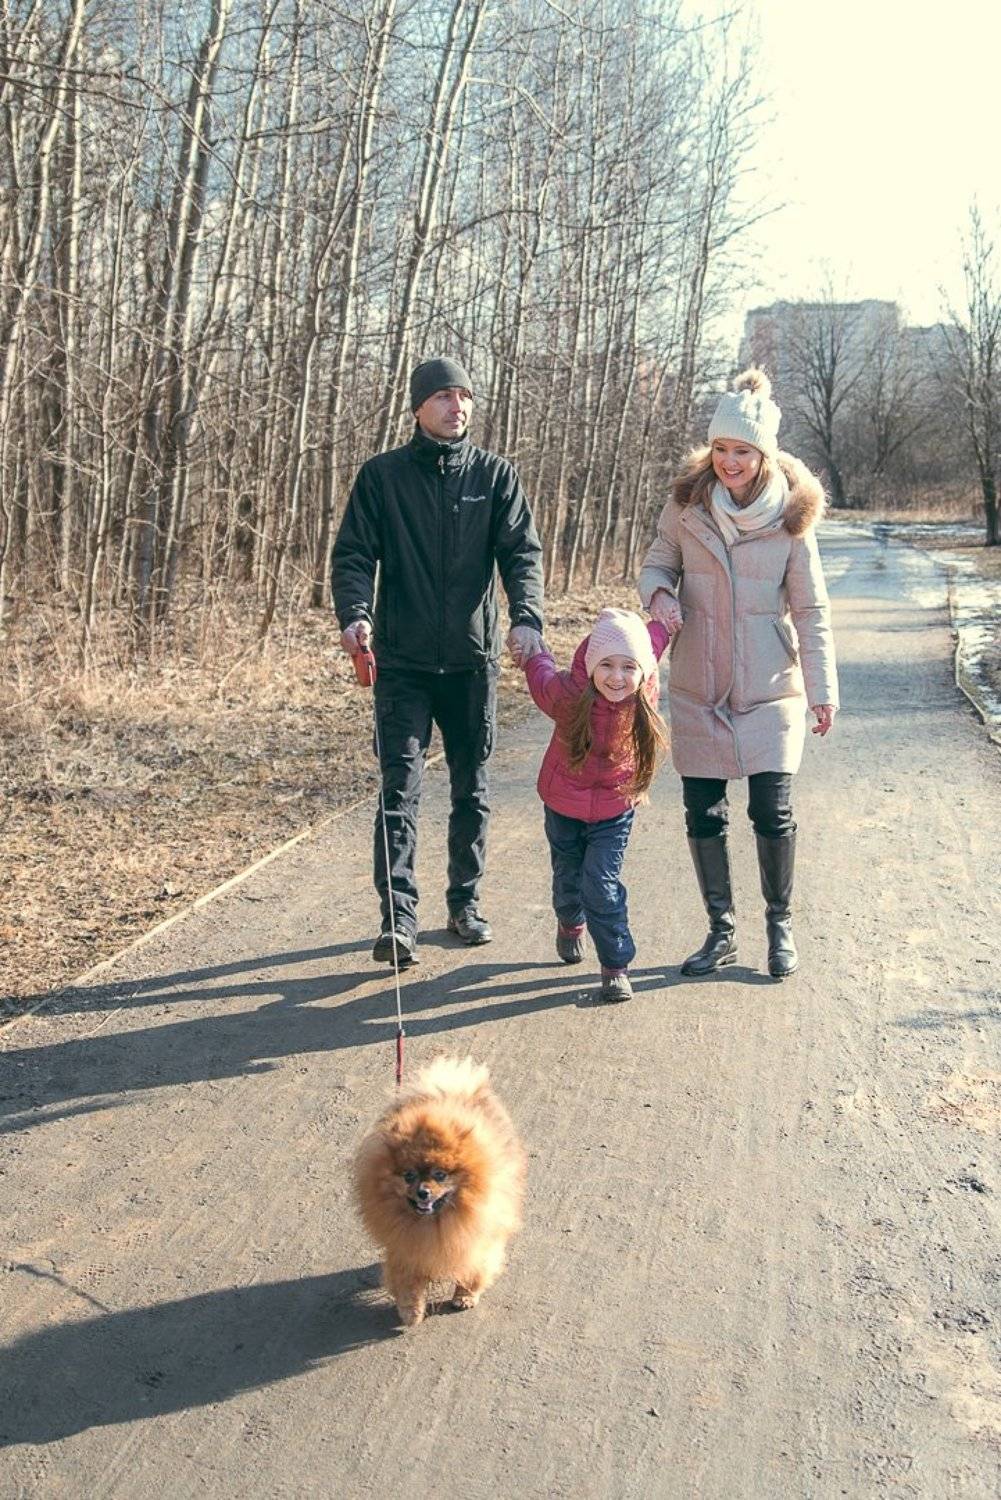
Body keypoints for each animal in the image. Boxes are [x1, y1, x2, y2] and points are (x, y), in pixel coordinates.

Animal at [354, 1056, 526, 1327]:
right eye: (409, 1175)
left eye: (440, 1175)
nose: (423, 1192)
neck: (435, 1223)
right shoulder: (406, 1248)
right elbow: (407, 1284)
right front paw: (411, 1312)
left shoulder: (476, 1238)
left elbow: (475, 1268)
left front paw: (465, 1296)